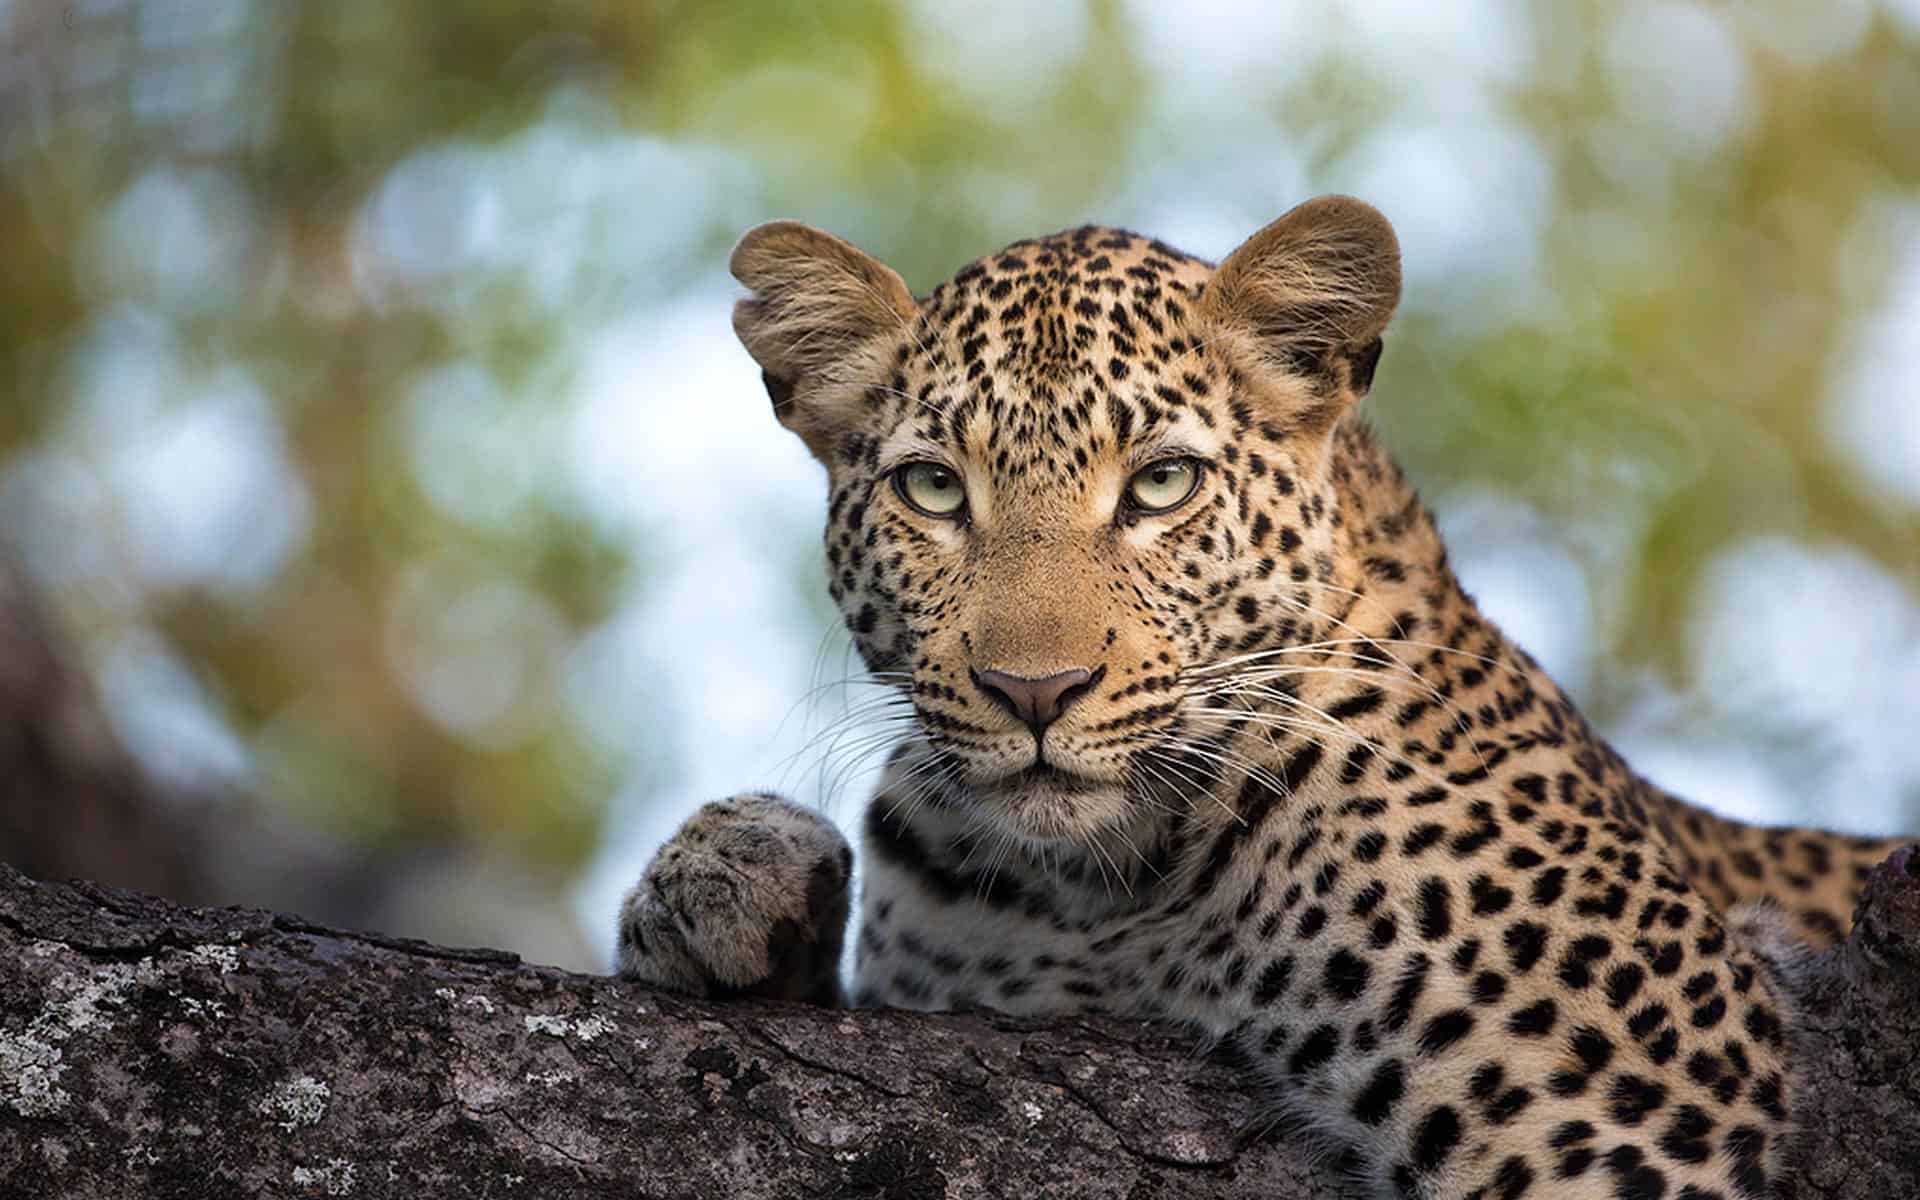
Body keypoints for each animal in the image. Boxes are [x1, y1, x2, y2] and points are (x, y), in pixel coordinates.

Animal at [614, 198, 1904, 1198]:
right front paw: (722, 876)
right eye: (933, 489)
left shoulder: (1637, 1108)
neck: (1096, 890)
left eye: (1162, 485)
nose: (1036, 691)